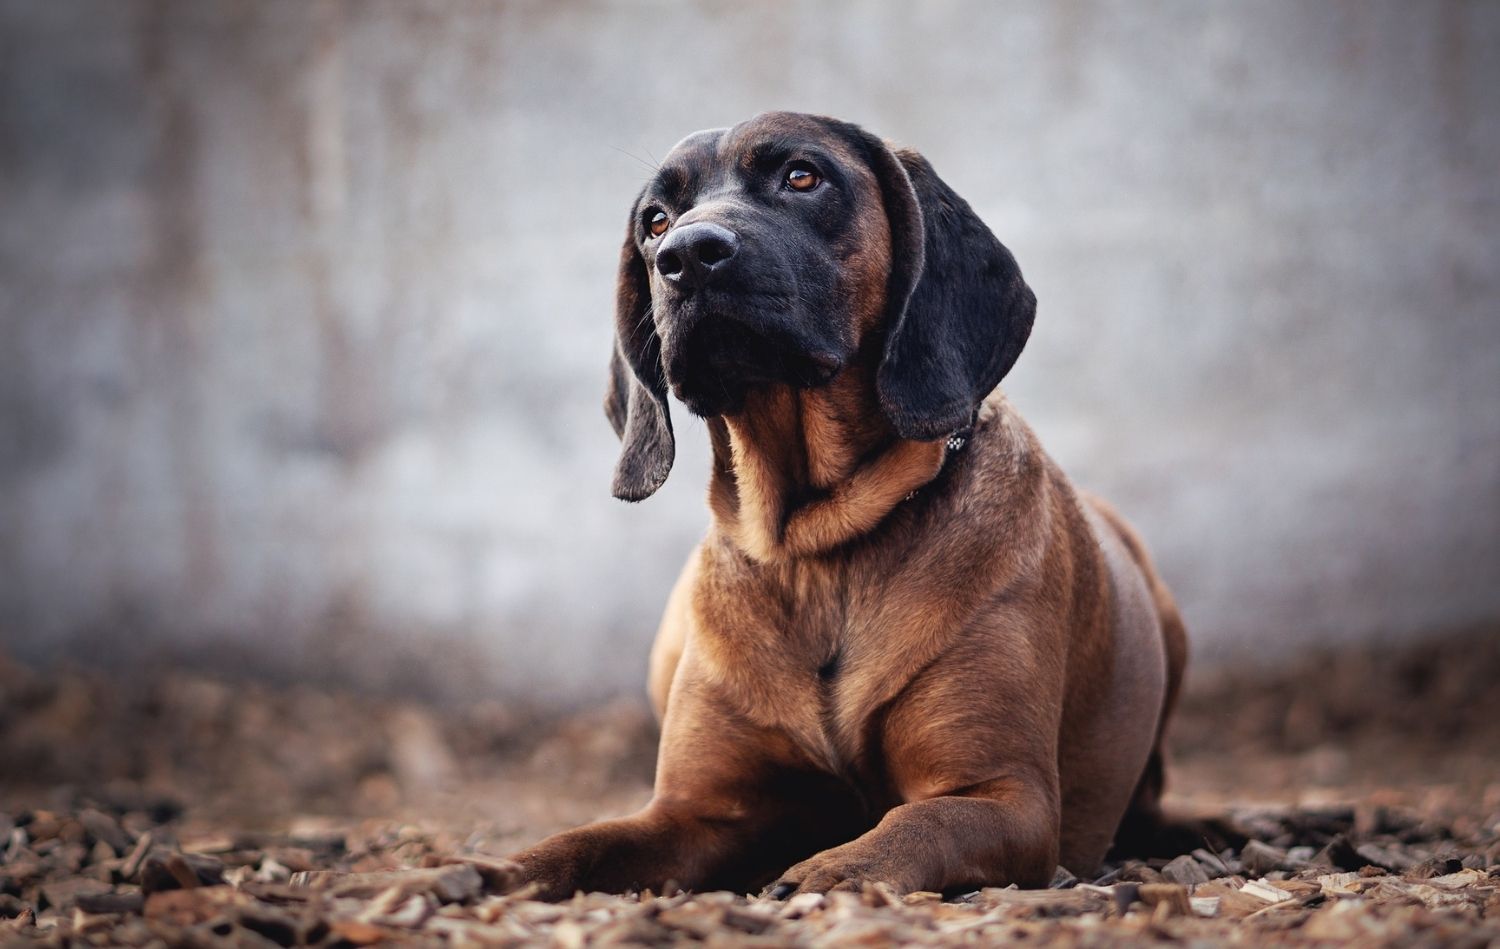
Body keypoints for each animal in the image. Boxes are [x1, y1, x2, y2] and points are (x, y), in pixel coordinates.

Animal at [510, 109, 1188, 893]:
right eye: (655, 220)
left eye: (802, 176)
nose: (686, 255)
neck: (818, 545)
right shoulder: (695, 813)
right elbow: (581, 843)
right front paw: (492, 870)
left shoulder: (1004, 796)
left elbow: (915, 824)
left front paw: (829, 872)